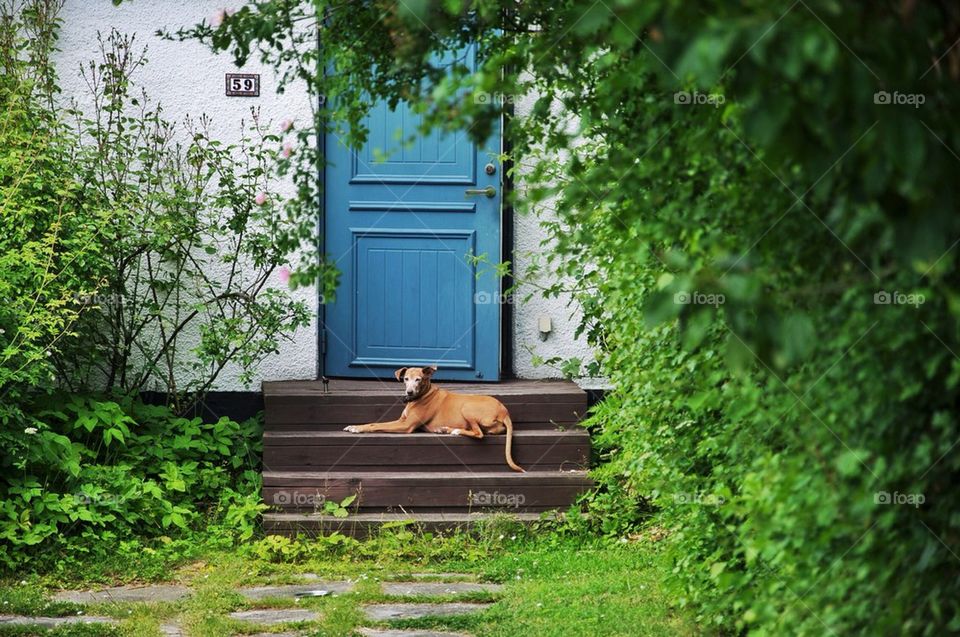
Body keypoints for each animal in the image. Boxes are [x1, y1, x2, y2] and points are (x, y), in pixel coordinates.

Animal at [344, 368, 524, 472]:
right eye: (406, 379)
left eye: (418, 379)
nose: (409, 393)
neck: (422, 395)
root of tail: (504, 412)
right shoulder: (401, 420)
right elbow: (374, 422)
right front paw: (354, 425)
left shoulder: (406, 426)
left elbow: (376, 425)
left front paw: (357, 428)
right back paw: (446, 429)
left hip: (467, 407)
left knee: (479, 433)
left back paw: (453, 430)